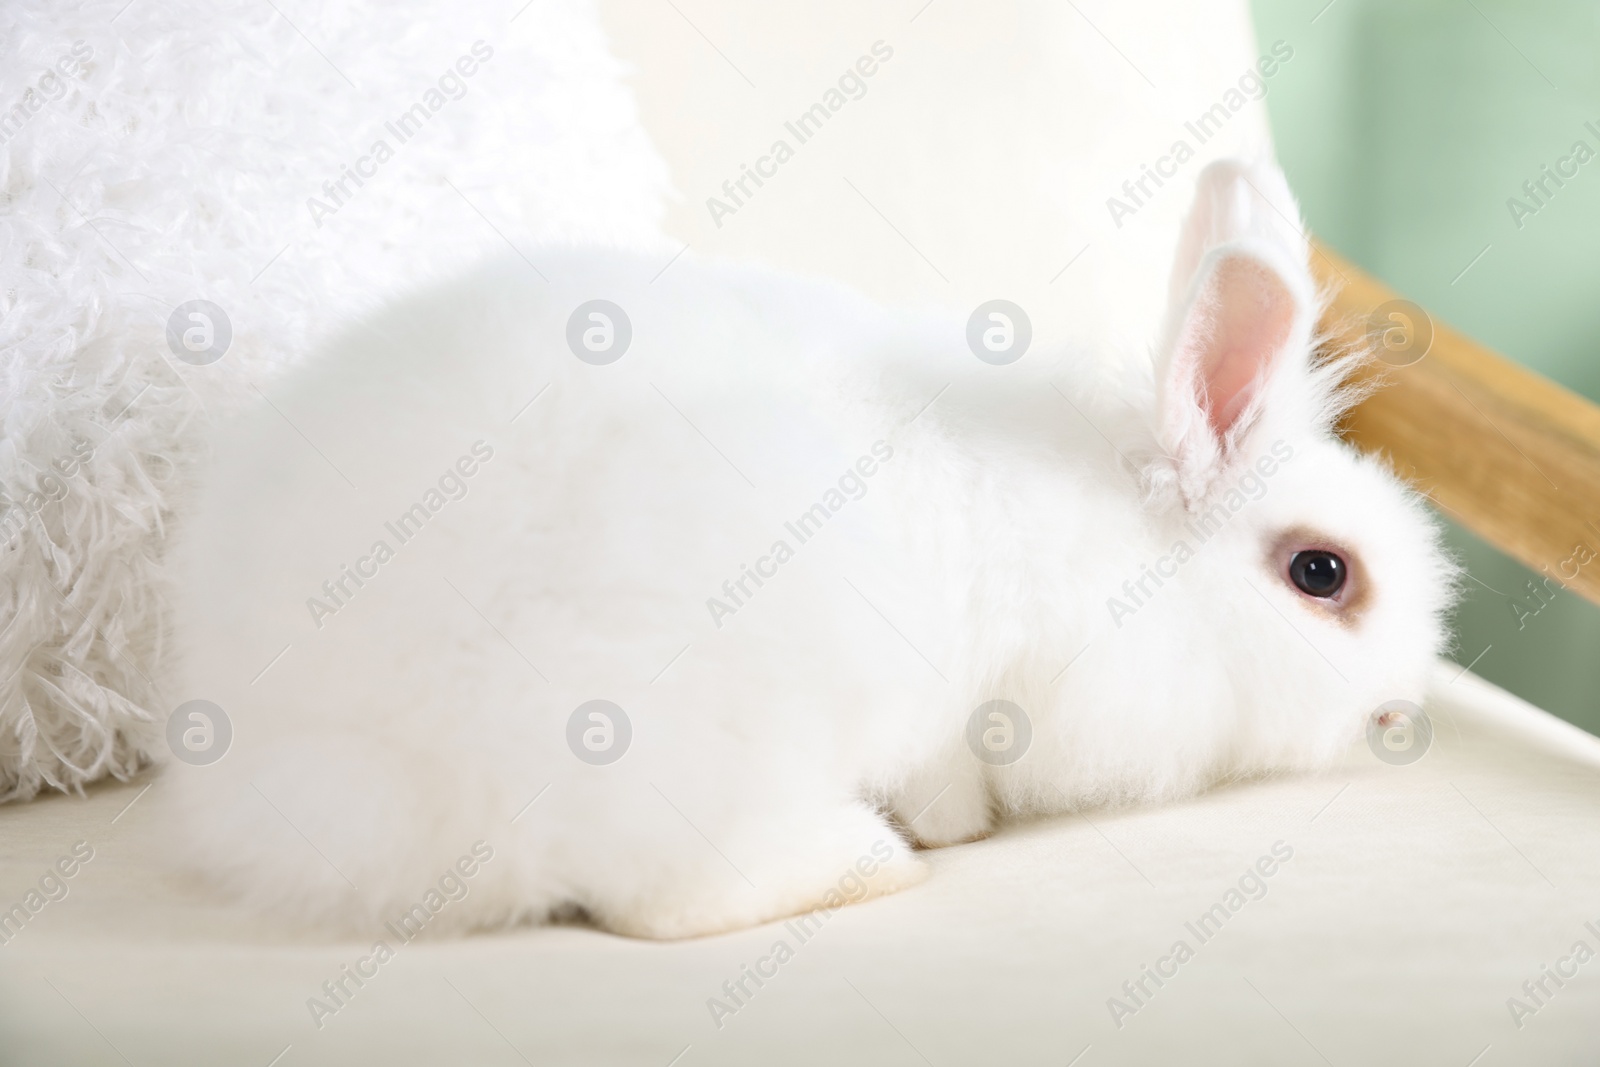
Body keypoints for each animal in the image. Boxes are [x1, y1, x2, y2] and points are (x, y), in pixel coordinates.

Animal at [156, 158, 1459, 934]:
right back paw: (871, 861)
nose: (1400, 710)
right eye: (1321, 573)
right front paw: (953, 827)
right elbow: (944, 777)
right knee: (665, 895)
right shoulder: (969, 702)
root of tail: (297, 776)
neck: (1131, 557)